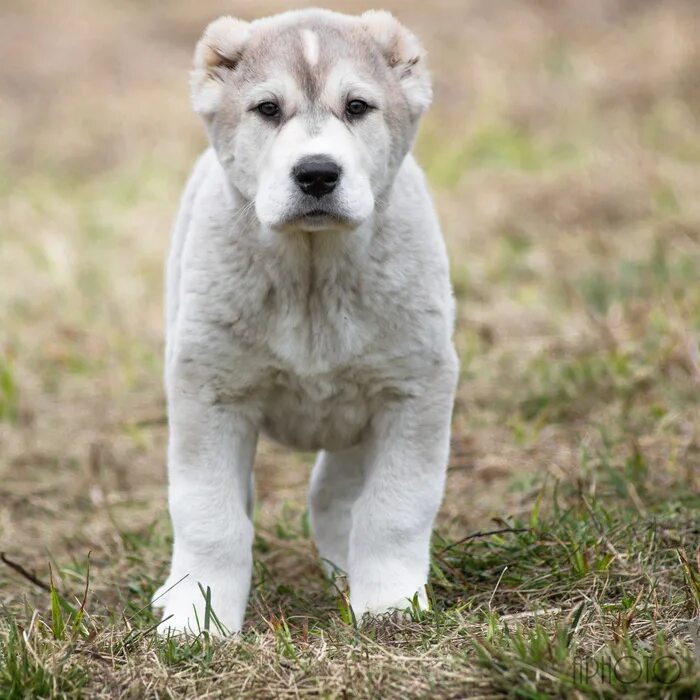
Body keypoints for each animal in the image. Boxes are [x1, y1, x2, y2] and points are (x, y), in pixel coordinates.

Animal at [154, 9, 460, 636]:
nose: (317, 172)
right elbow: (209, 516)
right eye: (268, 109)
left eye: (358, 107)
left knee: (336, 495)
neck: (313, 277)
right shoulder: (209, 390)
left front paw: (390, 606)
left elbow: (395, 509)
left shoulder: (416, 387)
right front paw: (197, 618)